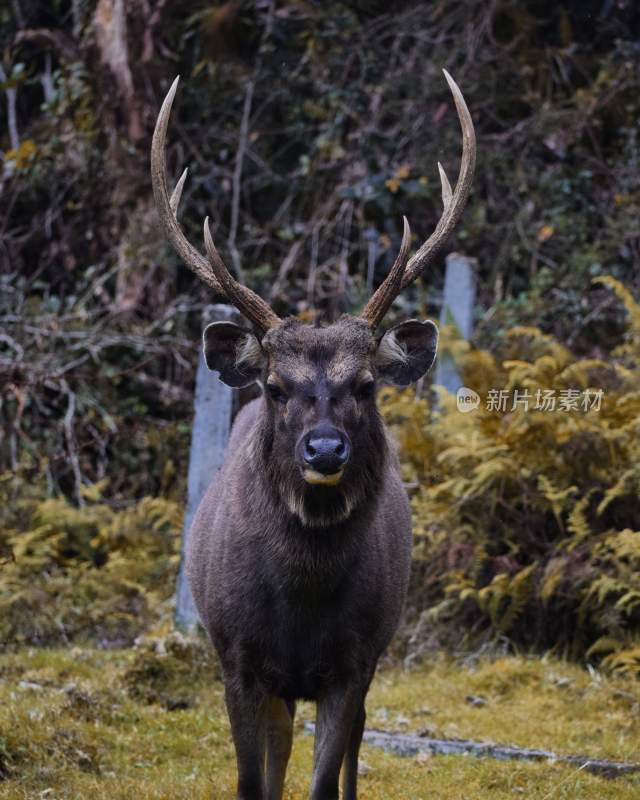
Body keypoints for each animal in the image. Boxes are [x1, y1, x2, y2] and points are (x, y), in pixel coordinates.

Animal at [149, 70, 470, 800]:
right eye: (275, 386)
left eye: (367, 385)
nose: (324, 449)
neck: (301, 598)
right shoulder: (236, 658)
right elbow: (254, 781)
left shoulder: (353, 662)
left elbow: (325, 780)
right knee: (280, 750)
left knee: (353, 749)